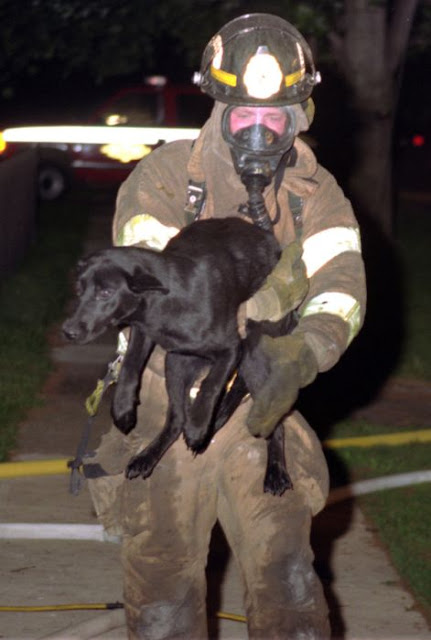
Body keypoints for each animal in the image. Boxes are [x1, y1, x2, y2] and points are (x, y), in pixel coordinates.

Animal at [63, 218, 294, 492]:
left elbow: (211, 385)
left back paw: (276, 472)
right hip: (174, 363)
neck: (163, 303)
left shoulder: (231, 348)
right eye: (78, 290)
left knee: (273, 420)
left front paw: (198, 427)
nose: (68, 331)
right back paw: (146, 458)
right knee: (175, 420)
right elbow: (130, 366)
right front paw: (122, 408)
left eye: (105, 293)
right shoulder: (143, 331)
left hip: (254, 357)